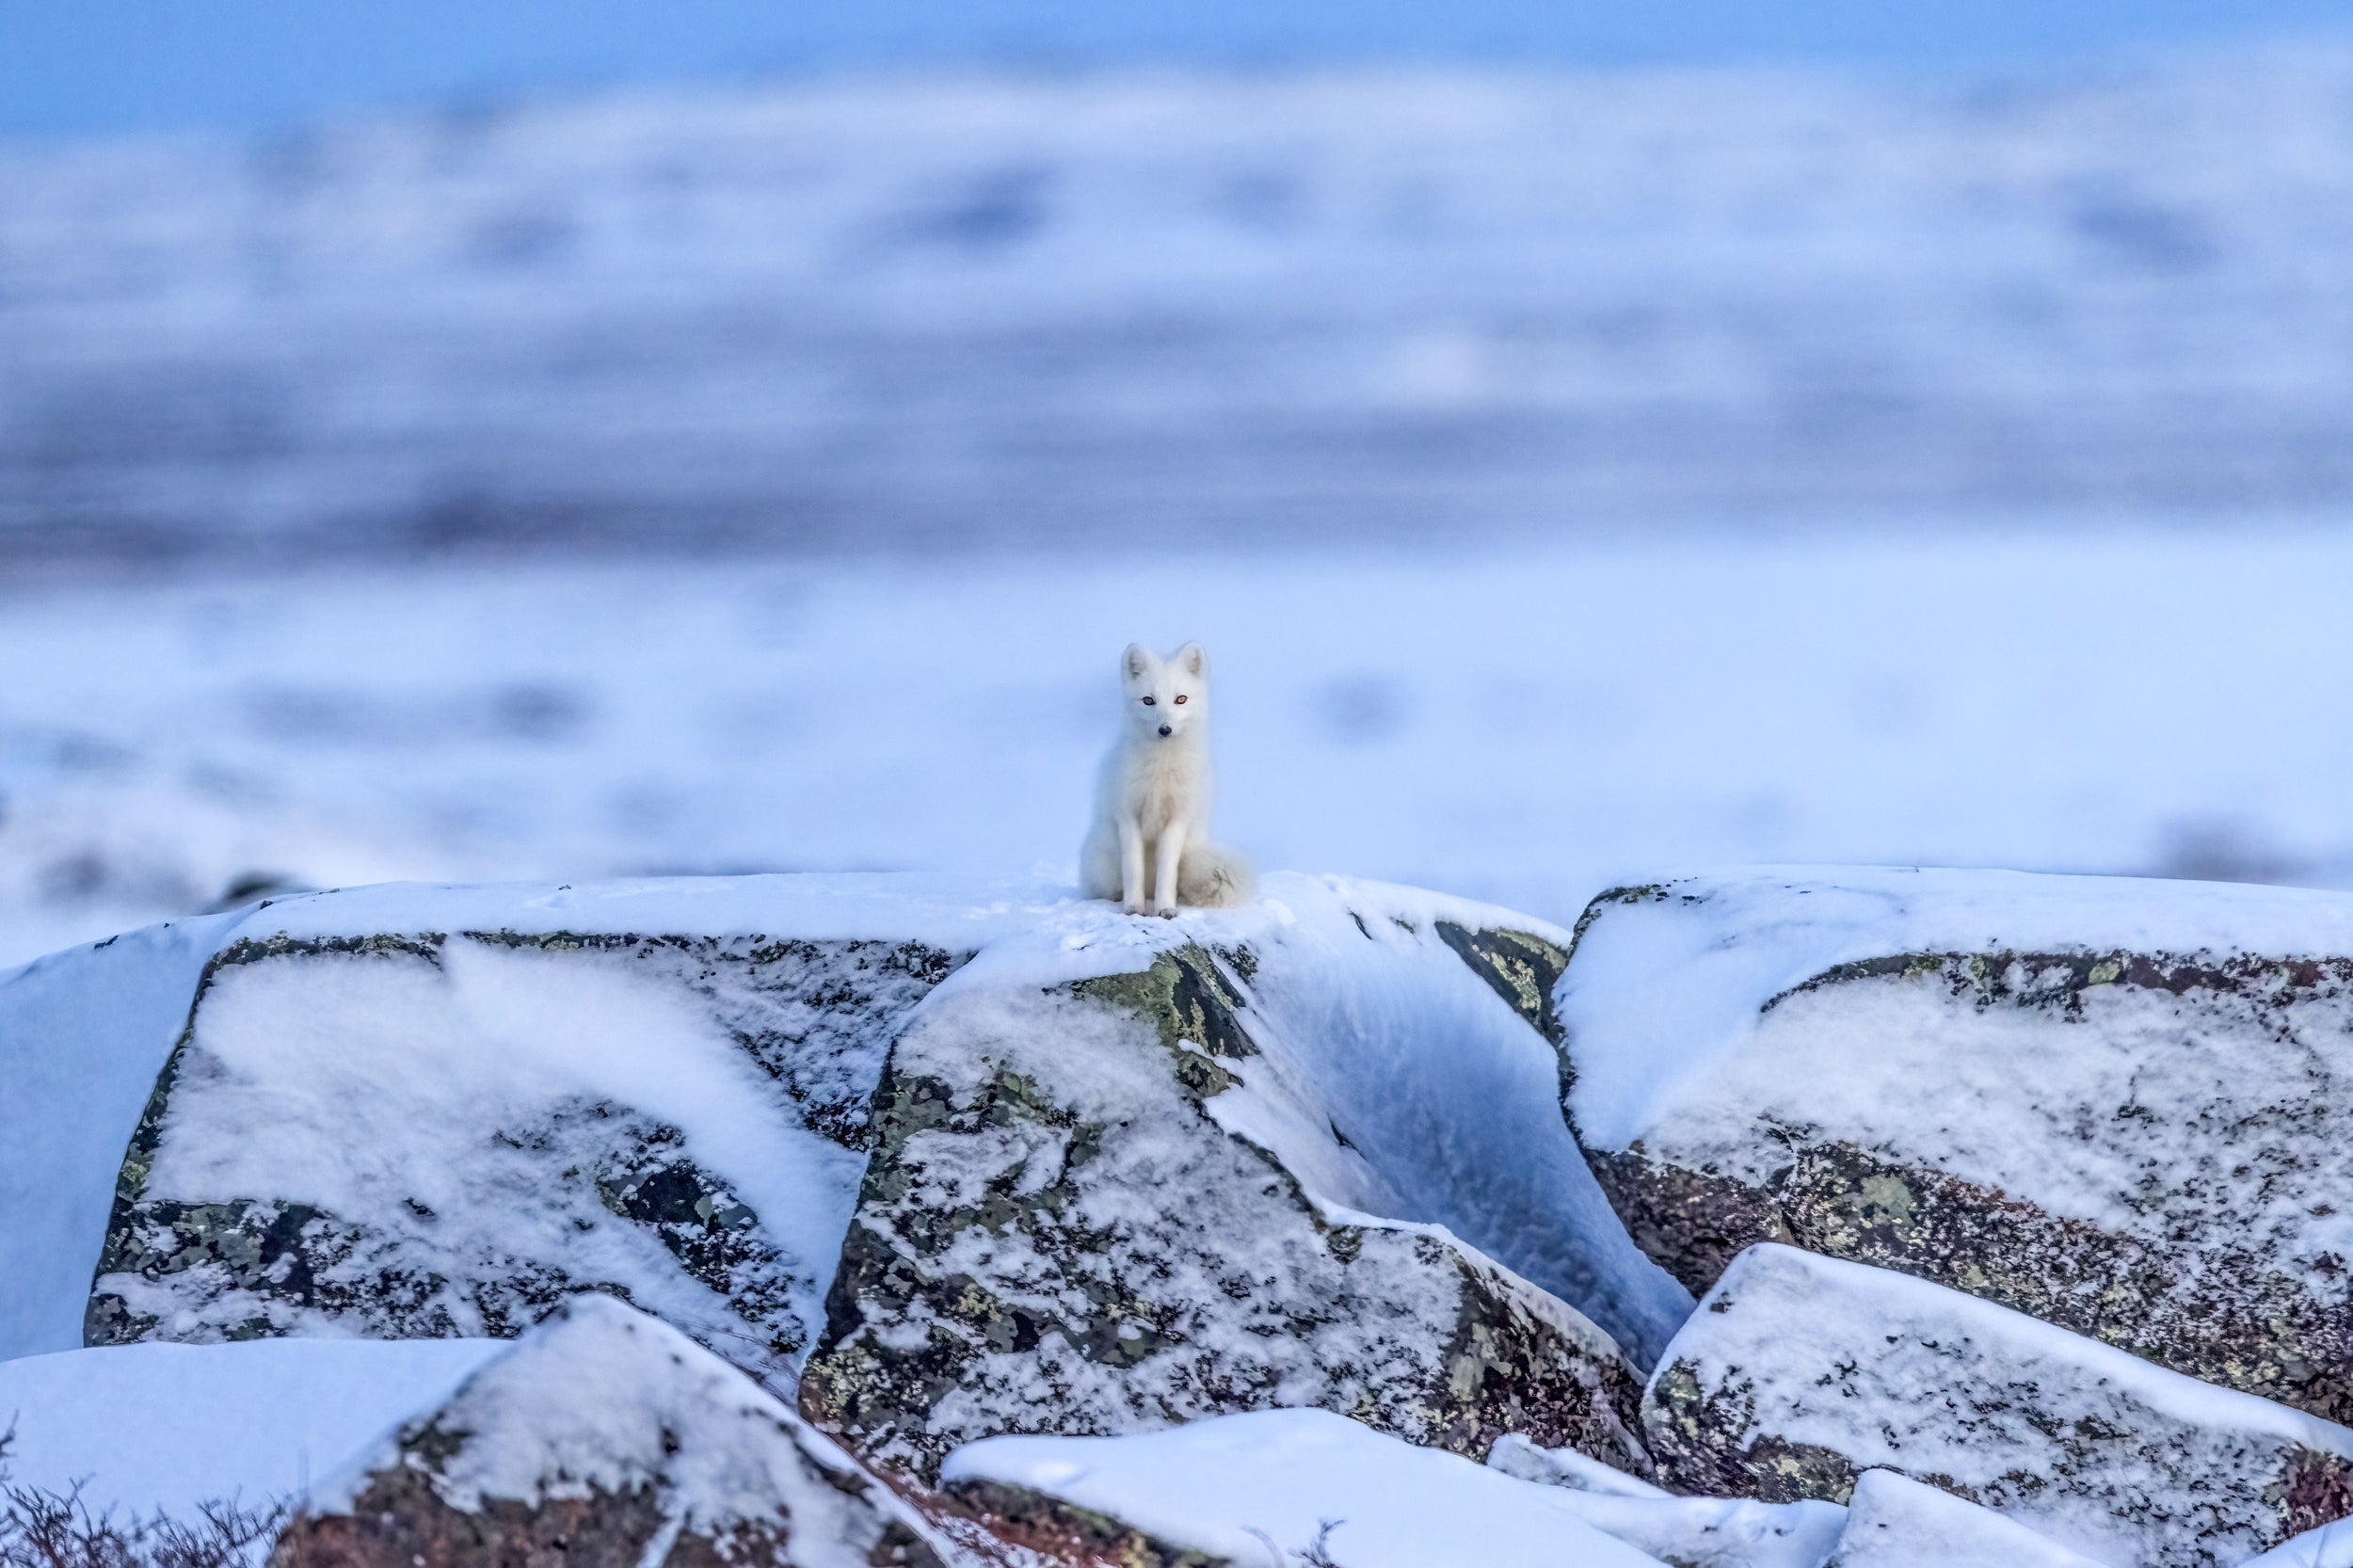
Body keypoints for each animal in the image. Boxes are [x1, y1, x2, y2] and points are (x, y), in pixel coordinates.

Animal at [1082, 641, 1256, 917]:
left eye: (1180, 699)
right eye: (1148, 701)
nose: (1165, 729)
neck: (1160, 772)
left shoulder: (1177, 820)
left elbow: (1167, 873)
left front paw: (1166, 908)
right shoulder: (1128, 817)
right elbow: (1133, 869)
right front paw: (1133, 907)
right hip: (1101, 863)